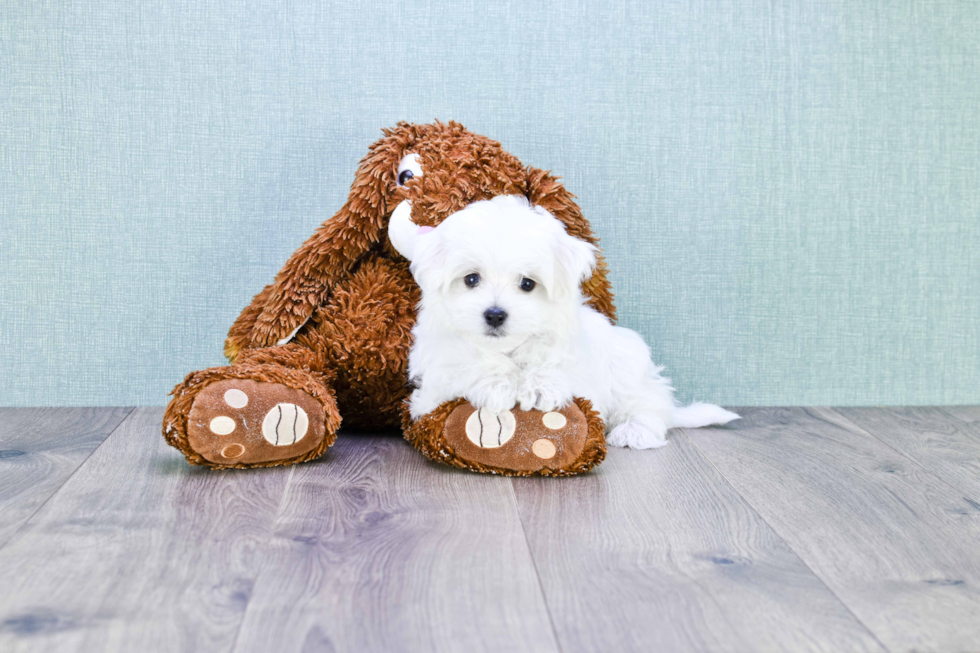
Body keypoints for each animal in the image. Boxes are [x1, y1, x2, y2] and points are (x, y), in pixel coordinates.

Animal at [404, 195, 736, 448]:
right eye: (471, 279)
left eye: (527, 284)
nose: (495, 314)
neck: (508, 348)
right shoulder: (436, 372)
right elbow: (468, 362)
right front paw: (497, 384)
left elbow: (554, 358)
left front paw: (539, 387)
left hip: (628, 366)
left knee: (648, 405)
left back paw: (634, 431)